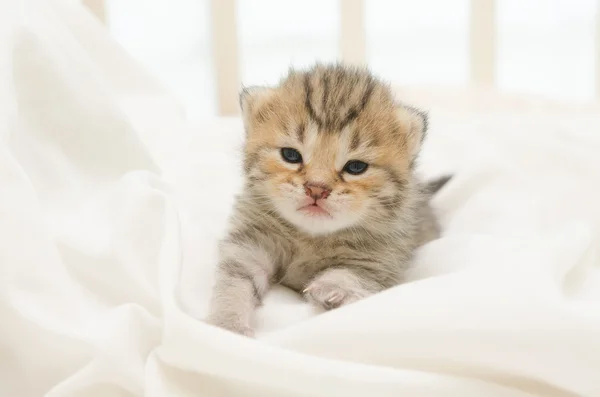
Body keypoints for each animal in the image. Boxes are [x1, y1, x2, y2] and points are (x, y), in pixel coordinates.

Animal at [206, 63, 450, 336]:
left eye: (356, 167)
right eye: (290, 155)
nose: (316, 189)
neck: (311, 237)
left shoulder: (382, 260)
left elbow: (353, 273)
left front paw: (333, 288)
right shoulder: (251, 242)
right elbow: (235, 281)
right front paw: (228, 323)